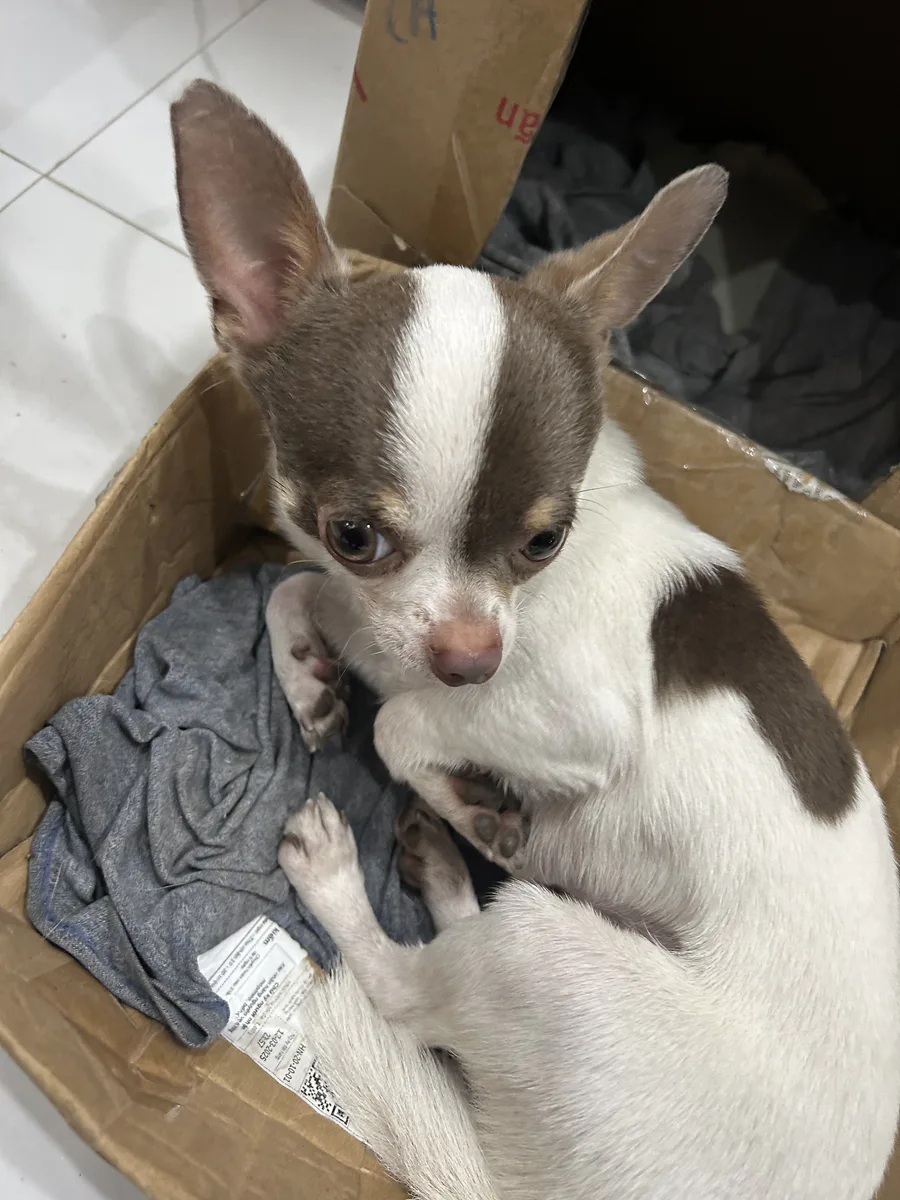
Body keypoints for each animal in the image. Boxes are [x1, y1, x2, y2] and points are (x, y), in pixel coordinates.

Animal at [172, 81, 900, 1200]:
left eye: (545, 542)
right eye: (355, 534)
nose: (474, 658)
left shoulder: (573, 716)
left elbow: (400, 727)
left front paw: (463, 786)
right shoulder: (390, 623)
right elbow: (296, 593)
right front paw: (307, 681)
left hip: (540, 951)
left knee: (407, 991)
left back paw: (356, 871)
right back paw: (439, 863)